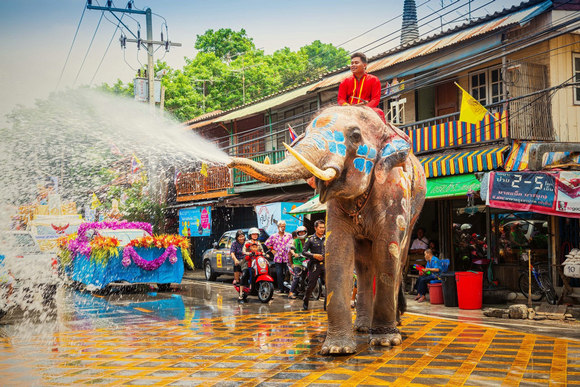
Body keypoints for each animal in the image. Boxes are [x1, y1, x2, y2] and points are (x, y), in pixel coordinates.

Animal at [227, 105, 426, 354]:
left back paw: (393, 324)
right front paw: (336, 349)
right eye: (306, 132)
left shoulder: (394, 191)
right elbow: (337, 249)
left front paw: (385, 341)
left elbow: (387, 250)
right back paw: (362, 327)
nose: (228, 163)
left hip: (415, 209)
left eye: (355, 136)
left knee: (398, 258)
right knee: (363, 264)